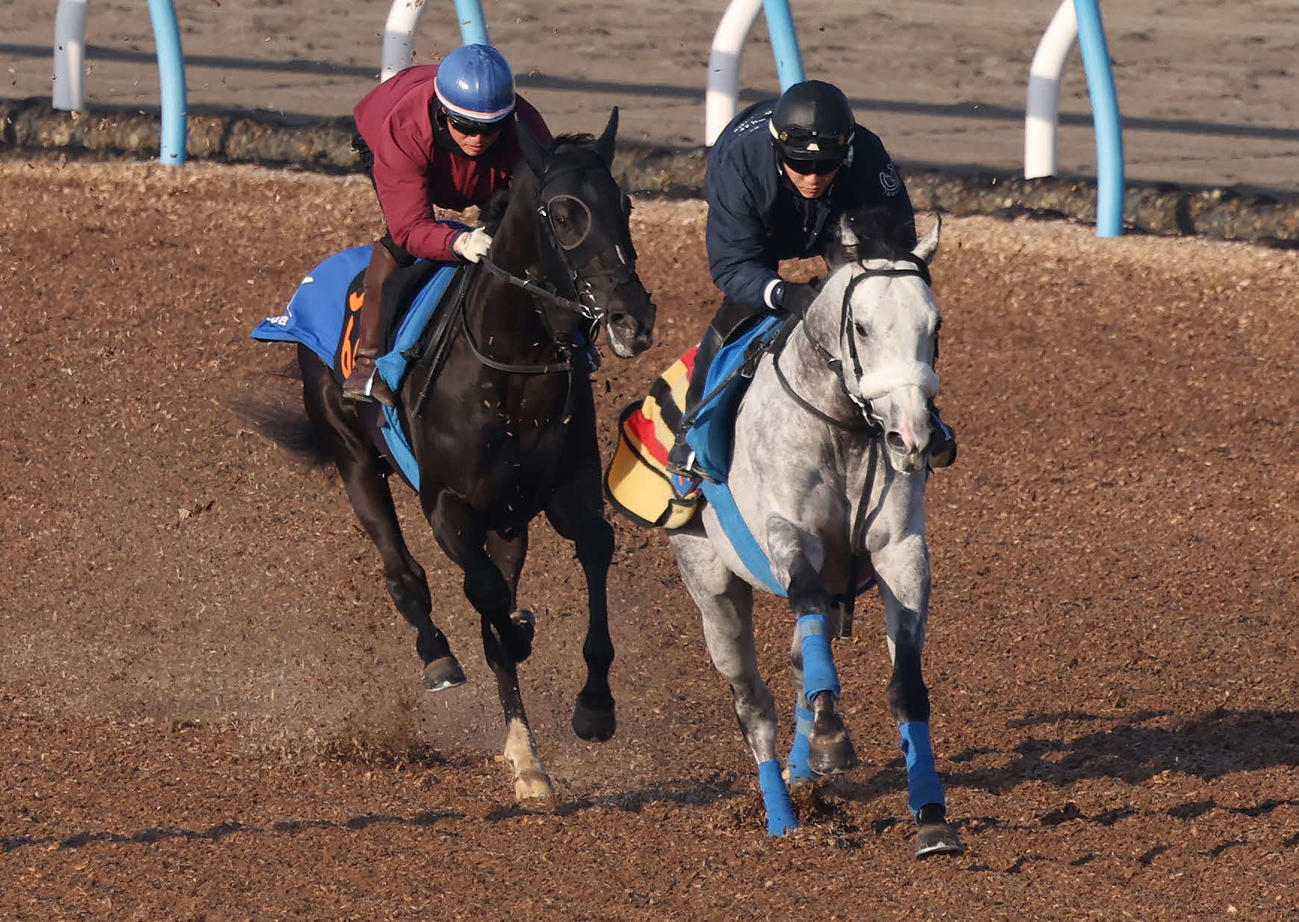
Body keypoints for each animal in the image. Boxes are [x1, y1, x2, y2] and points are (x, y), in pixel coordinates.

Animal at [282, 110, 655, 800]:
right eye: (563, 213)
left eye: (624, 204)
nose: (632, 317)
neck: (512, 378)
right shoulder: (449, 506)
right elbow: (486, 599)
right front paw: (517, 633)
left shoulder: (564, 494)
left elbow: (591, 553)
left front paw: (594, 706)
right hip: (354, 460)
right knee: (404, 571)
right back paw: (439, 655)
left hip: (507, 519)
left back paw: (528, 759)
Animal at [666, 210, 963, 855]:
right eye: (862, 326)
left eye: (934, 325)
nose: (912, 437)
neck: (844, 429)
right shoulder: (790, 538)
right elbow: (800, 610)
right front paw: (829, 733)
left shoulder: (901, 553)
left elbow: (907, 685)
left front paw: (931, 816)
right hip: (712, 592)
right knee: (755, 703)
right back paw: (781, 814)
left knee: (803, 660)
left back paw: (803, 775)